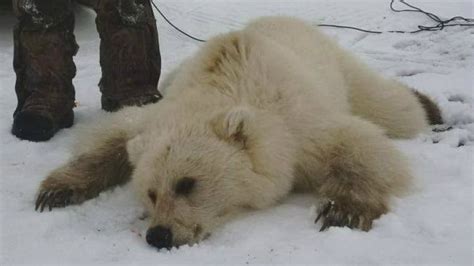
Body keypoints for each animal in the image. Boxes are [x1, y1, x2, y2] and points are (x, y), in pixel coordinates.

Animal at [35, 16, 442, 249]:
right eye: (150, 192)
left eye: (187, 183)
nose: (159, 235)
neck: (225, 85)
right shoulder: (160, 112)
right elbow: (116, 132)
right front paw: (56, 191)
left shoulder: (298, 127)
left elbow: (357, 143)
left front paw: (343, 211)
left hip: (336, 68)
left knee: (391, 108)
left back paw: (428, 106)